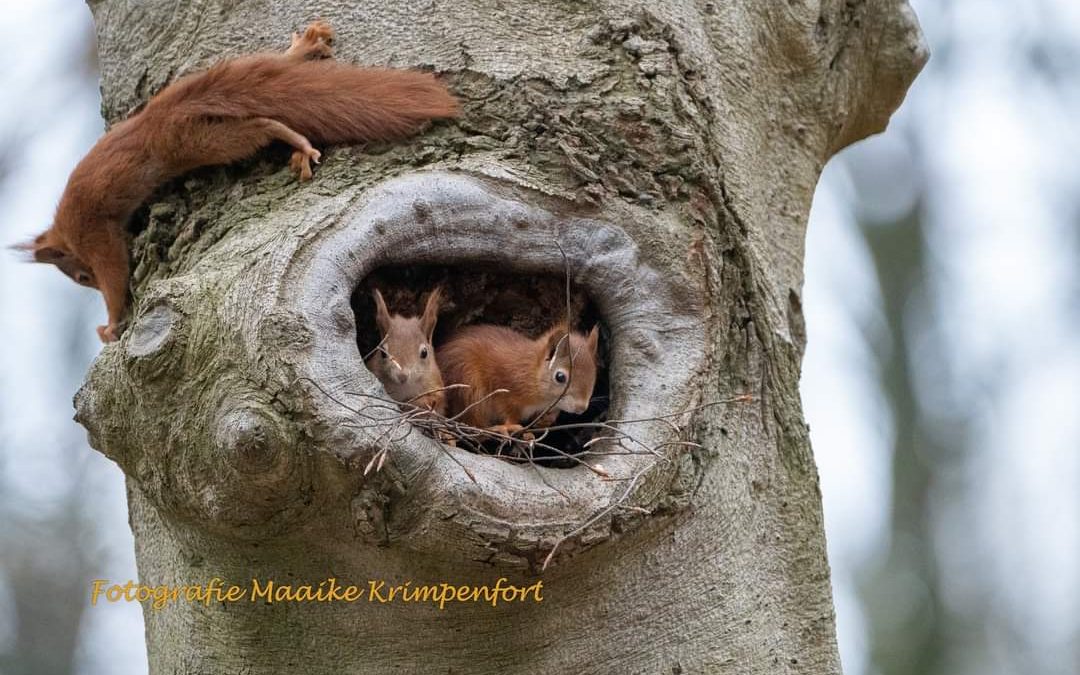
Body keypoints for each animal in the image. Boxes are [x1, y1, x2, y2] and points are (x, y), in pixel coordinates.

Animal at [17, 21, 455, 341]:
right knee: (271, 69)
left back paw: (295, 140)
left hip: (196, 142)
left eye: (82, 277)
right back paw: (300, 52)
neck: (67, 228)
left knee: (261, 126)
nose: (86, 283)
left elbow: (115, 273)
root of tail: (165, 111)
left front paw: (110, 324)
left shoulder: (96, 234)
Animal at [365, 285, 444, 416]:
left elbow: (433, 400)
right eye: (382, 352)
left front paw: (412, 404)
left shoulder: (435, 385)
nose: (402, 376)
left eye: (424, 353)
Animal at [440, 321, 609, 436]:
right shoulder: (504, 383)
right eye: (560, 377)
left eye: (594, 373)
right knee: (473, 423)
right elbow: (508, 410)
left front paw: (547, 419)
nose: (581, 408)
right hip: (468, 385)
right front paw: (509, 425)